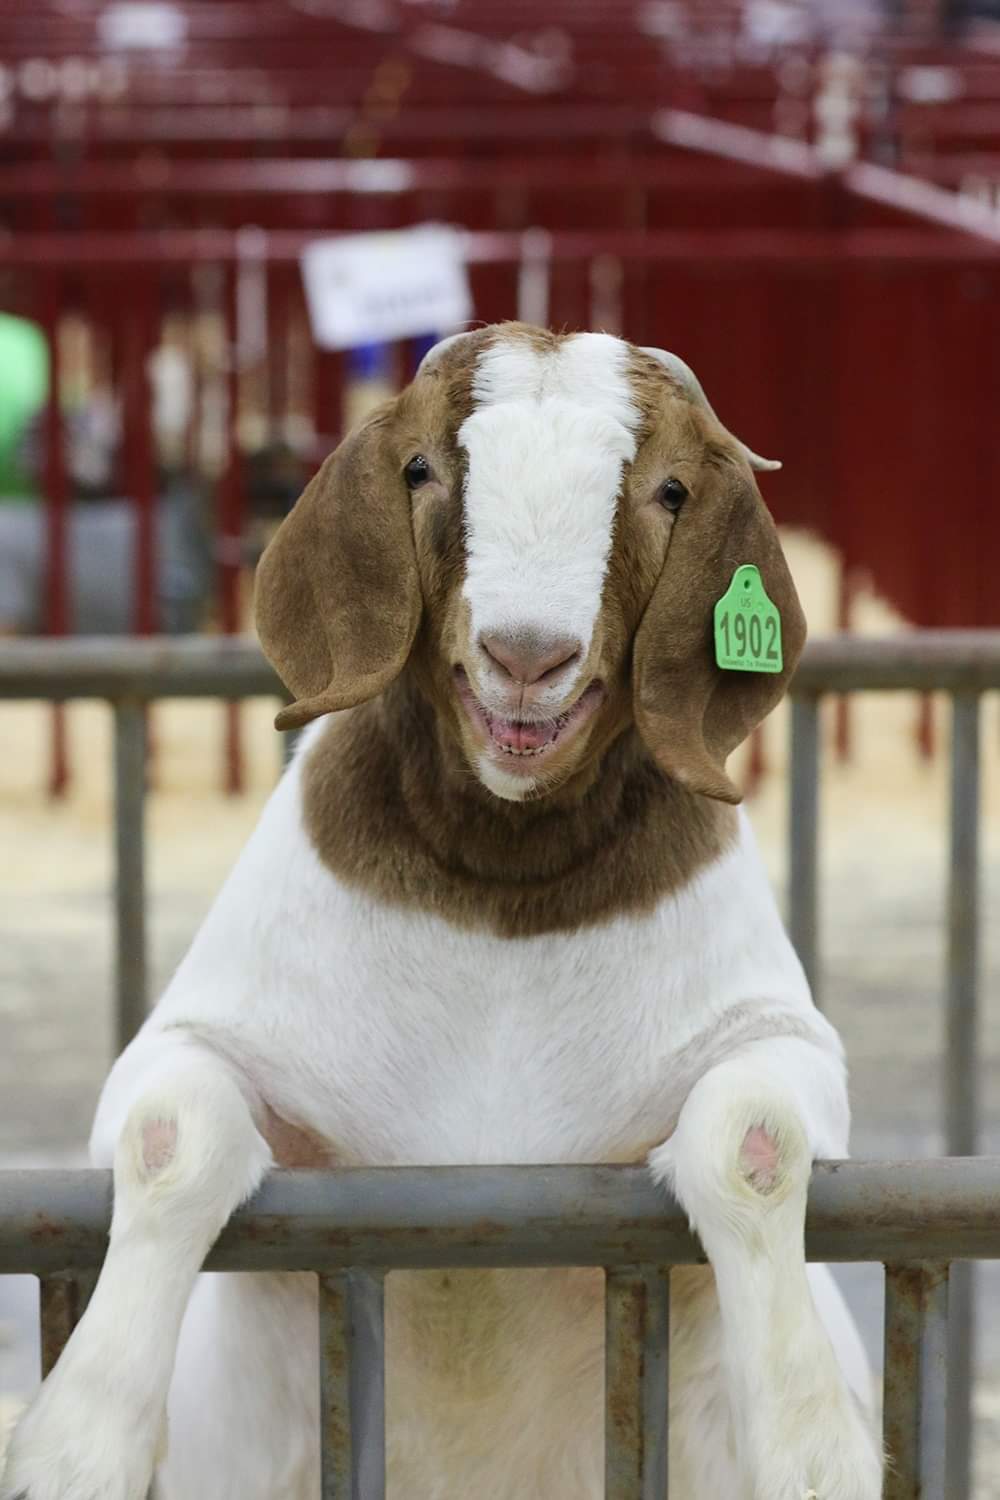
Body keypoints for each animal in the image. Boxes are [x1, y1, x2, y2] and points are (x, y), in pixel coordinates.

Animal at [1, 322, 883, 1500]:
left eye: (669, 489)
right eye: (421, 469)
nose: (526, 653)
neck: (499, 882)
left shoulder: (779, 1038)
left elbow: (759, 1142)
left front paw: (813, 1449)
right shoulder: (197, 1035)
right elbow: (165, 1137)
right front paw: (74, 1445)